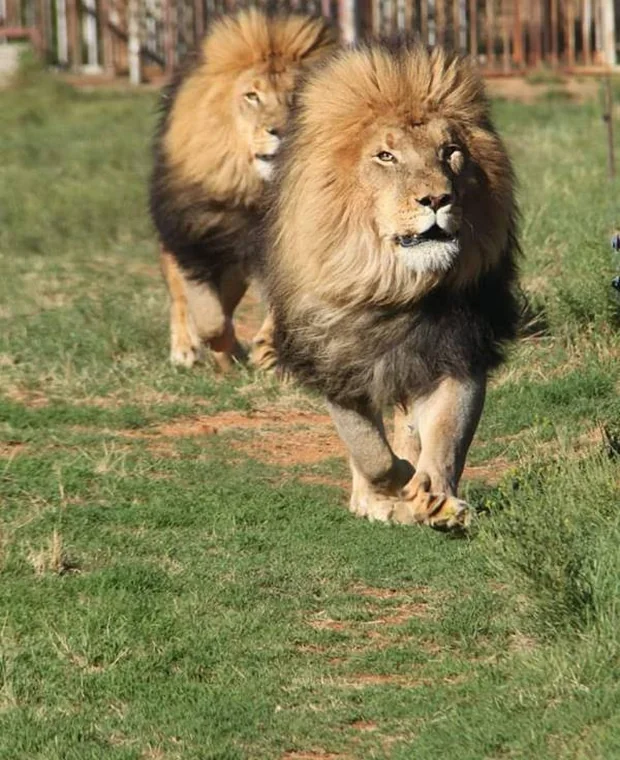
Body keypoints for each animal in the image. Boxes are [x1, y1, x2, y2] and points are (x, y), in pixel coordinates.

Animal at [149, 8, 336, 371]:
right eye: (252, 96)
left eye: (296, 96)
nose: (280, 130)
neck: (256, 193)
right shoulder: (194, 238)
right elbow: (208, 318)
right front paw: (223, 350)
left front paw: (264, 349)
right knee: (179, 294)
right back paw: (185, 349)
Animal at [261, 42, 521, 530]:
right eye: (386, 157)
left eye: (450, 151)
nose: (438, 199)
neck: (393, 287)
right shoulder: (336, 363)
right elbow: (371, 452)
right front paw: (394, 485)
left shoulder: (456, 350)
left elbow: (447, 437)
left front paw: (436, 500)